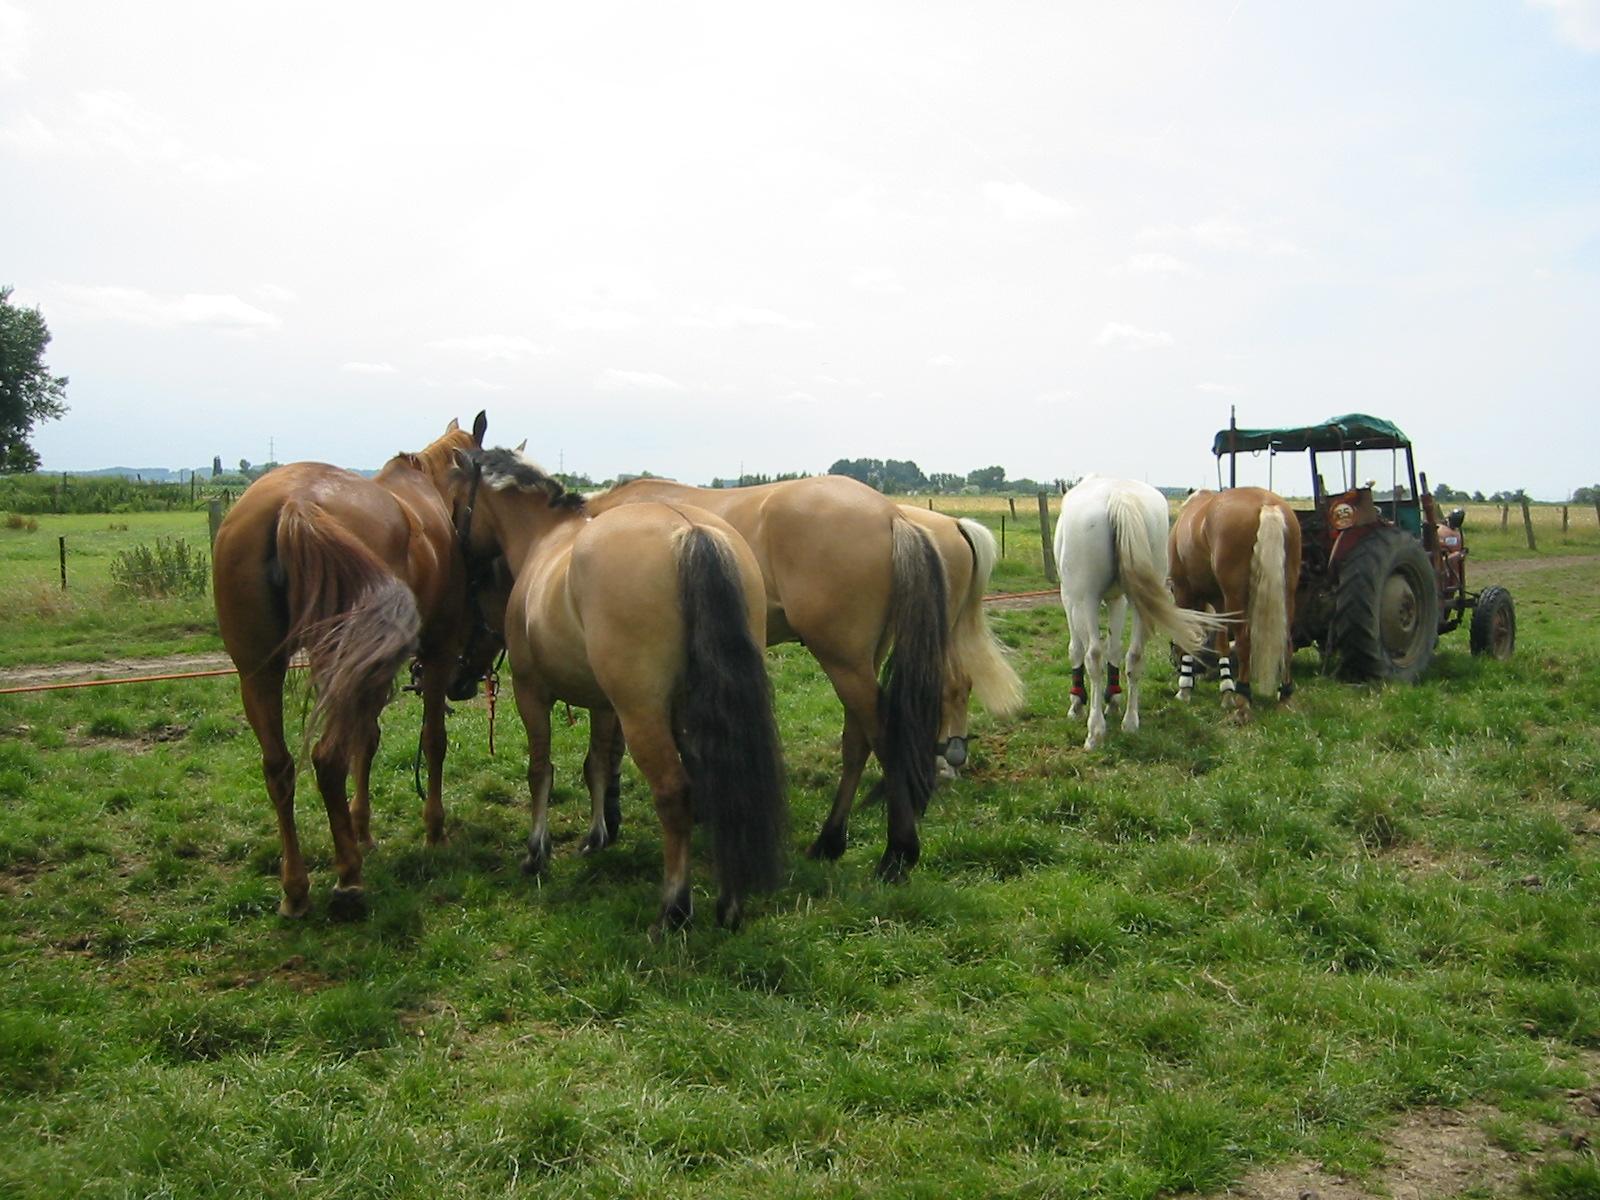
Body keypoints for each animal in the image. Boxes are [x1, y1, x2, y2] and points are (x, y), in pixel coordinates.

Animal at [212, 419, 489, 915]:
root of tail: (297, 504)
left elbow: (369, 740)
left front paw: (362, 829)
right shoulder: (436, 653)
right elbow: (432, 741)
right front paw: (434, 830)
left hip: (259, 671)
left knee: (280, 768)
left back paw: (296, 888)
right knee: (327, 758)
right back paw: (348, 877)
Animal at [441, 448, 790, 934]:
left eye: (457, 501)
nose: (456, 548)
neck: (545, 539)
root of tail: (691, 532)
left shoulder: (532, 693)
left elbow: (540, 771)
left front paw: (536, 852)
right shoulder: (604, 705)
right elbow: (598, 767)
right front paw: (596, 836)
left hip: (642, 713)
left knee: (674, 792)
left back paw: (674, 909)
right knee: (722, 783)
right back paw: (730, 904)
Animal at [588, 473, 947, 876]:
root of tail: (890, 514)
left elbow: (610, 746)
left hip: (843, 662)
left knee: (884, 739)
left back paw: (897, 852)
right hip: (859, 662)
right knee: (857, 741)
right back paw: (830, 840)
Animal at [1056, 480, 1228, 752]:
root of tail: (1118, 497)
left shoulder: (1070, 598)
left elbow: (1076, 650)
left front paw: (1077, 703)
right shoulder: (1117, 600)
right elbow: (1115, 649)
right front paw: (1113, 698)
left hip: (1086, 599)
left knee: (1093, 656)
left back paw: (1095, 731)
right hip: (1139, 601)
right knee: (1135, 657)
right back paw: (1130, 722)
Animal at [1171, 489, 1305, 710]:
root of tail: (1267, 505)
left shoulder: (1184, 592)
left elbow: (1190, 638)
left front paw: (1185, 688)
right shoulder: (1219, 602)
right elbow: (1222, 644)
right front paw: (1226, 690)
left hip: (1236, 595)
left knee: (1244, 641)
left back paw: (1243, 694)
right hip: (1287, 591)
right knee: (1287, 642)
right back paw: (1285, 695)